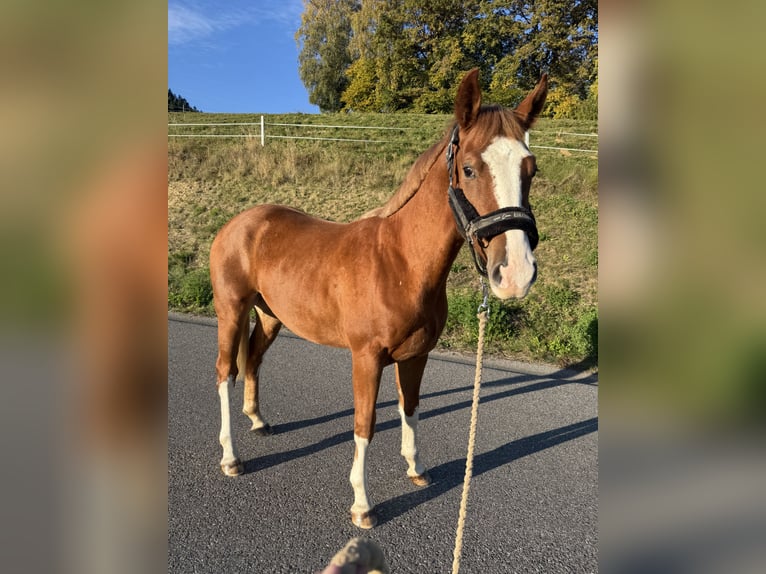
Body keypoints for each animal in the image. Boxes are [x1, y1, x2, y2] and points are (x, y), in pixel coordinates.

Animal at [209, 69, 548, 528]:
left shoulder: (416, 355)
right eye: (469, 169)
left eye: (530, 169)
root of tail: (237, 224)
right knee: (225, 371)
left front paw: (416, 468)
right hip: (231, 312)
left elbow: (411, 408)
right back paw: (231, 457)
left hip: (270, 316)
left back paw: (259, 421)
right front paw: (362, 503)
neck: (400, 262)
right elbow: (364, 424)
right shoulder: (366, 358)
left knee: (254, 360)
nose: (514, 274)